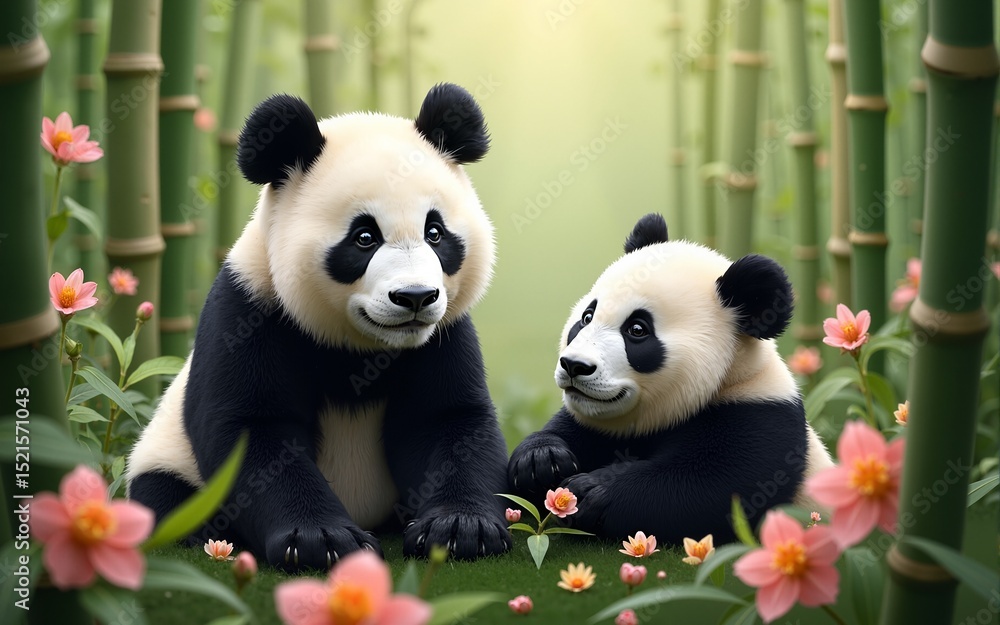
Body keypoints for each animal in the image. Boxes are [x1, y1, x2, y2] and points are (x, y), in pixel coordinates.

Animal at [127, 83, 512, 571]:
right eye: (364, 238)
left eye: (436, 233)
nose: (415, 298)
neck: (361, 346)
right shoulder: (250, 310)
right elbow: (253, 433)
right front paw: (320, 540)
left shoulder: (443, 333)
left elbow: (449, 421)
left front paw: (461, 529)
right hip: (165, 455)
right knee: (162, 495)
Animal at [508, 213, 833, 544]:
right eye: (587, 317)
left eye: (637, 330)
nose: (574, 365)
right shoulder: (600, 424)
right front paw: (541, 460)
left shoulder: (760, 419)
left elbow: (706, 491)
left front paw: (590, 491)